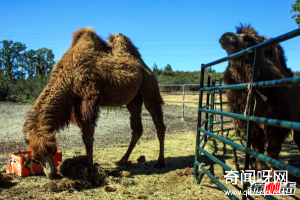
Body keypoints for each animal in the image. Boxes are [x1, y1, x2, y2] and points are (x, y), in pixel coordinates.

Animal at [23, 27, 166, 179]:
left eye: (54, 151)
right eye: (35, 158)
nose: (51, 174)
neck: (68, 79)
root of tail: (146, 66)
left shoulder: (88, 99)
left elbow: (88, 137)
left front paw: (89, 164)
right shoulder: (76, 106)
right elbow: (84, 136)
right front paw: (88, 162)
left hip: (149, 87)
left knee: (159, 123)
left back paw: (160, 162)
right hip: (134, 99)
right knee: (137, 129)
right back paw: (122, 160)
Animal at [218, 24, 300, 172]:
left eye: (248, 39)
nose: (225, 36)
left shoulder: (279, 119)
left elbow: (273, 149)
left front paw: (273, 172)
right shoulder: (248, 119)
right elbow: (257, 145)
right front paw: (260, 166)